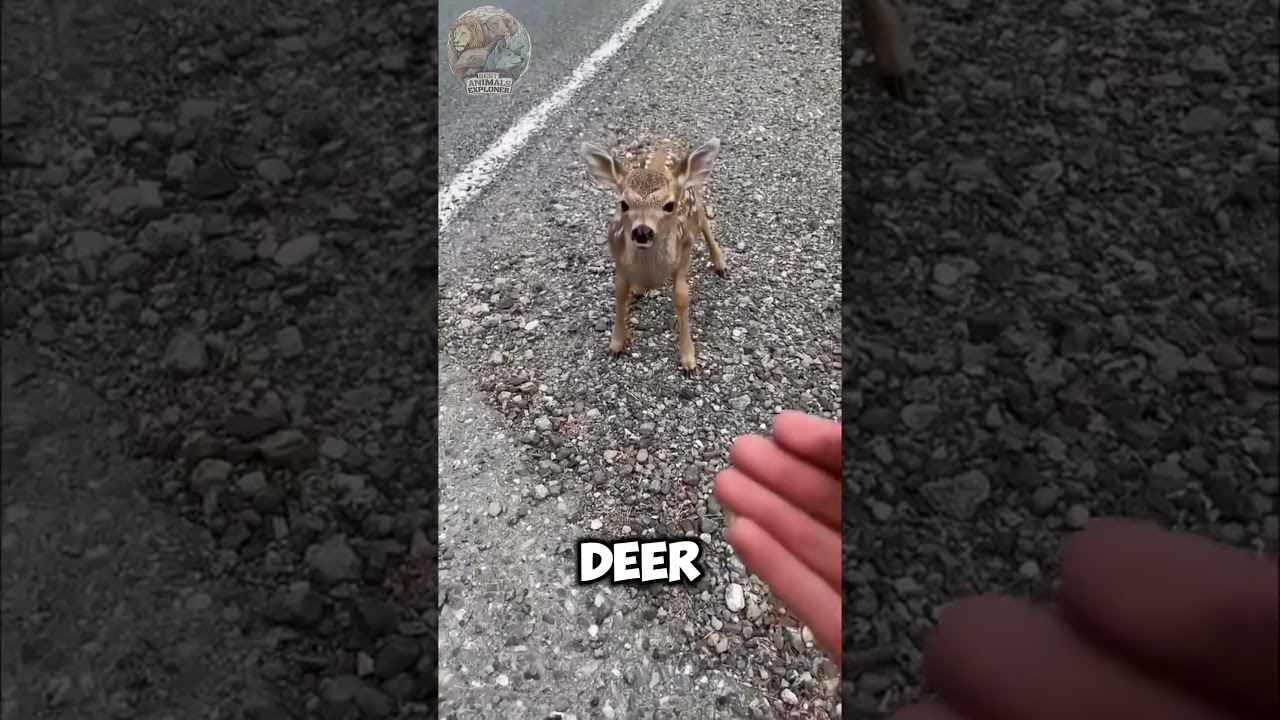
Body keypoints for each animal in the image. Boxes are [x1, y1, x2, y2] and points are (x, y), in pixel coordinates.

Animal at [579, 137, 727, 375]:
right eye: (623, 204)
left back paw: (721, 264)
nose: (642, 231)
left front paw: (688, 359)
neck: (649, 270)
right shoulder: (618, 258)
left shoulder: (685, 249)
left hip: (696, 199)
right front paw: (616, 344)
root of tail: (662, 150)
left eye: (669, 205)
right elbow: (620, 292)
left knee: (705, 224)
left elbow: (681, 297)